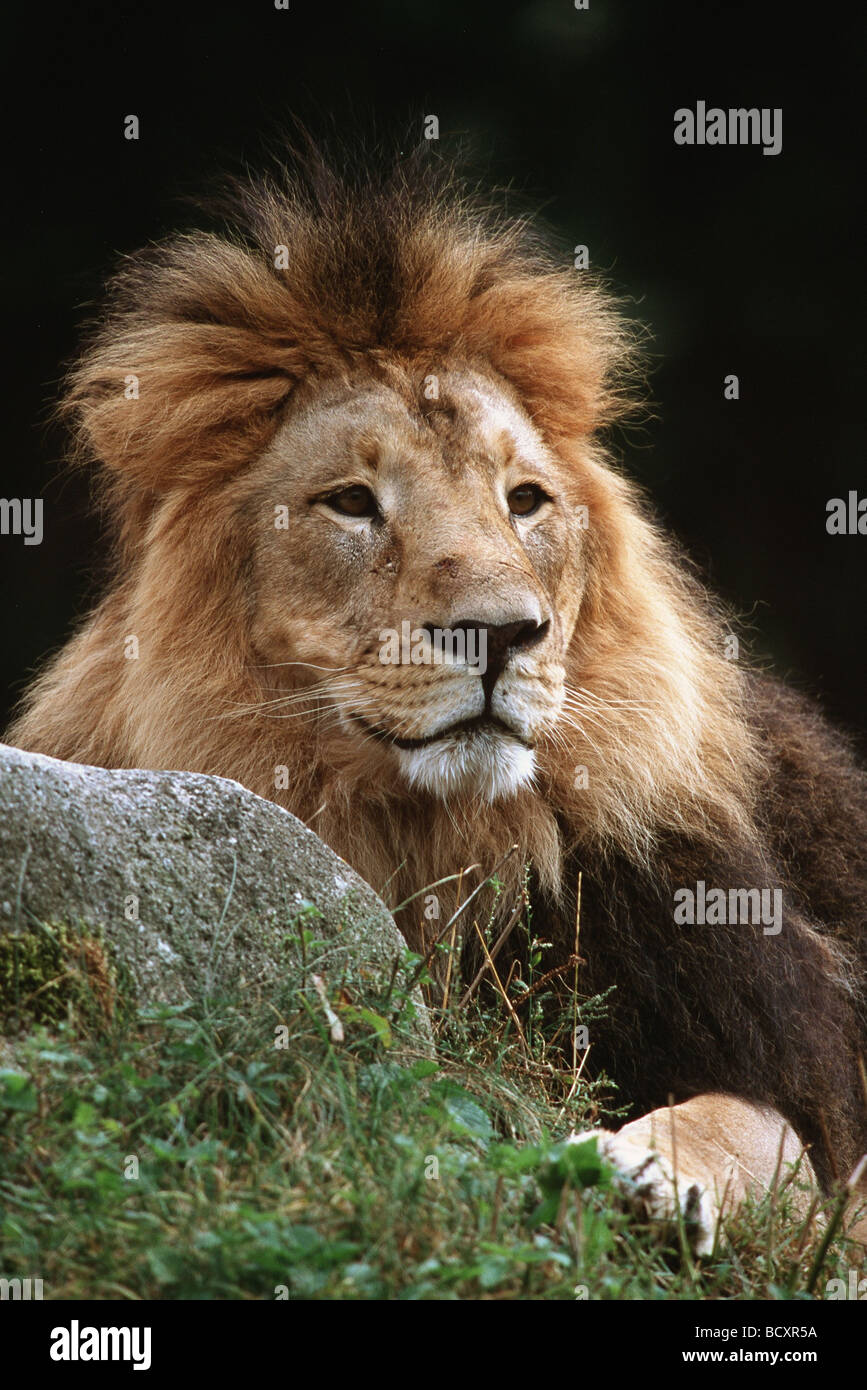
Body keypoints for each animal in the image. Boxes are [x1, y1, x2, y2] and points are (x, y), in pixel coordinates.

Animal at [8, 146, 867, 1256]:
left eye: (525, 500)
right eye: (352, 503)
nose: (500, 633)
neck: (438, 840)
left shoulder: (802, 1064)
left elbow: (744, 1121)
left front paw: (637, 1168)